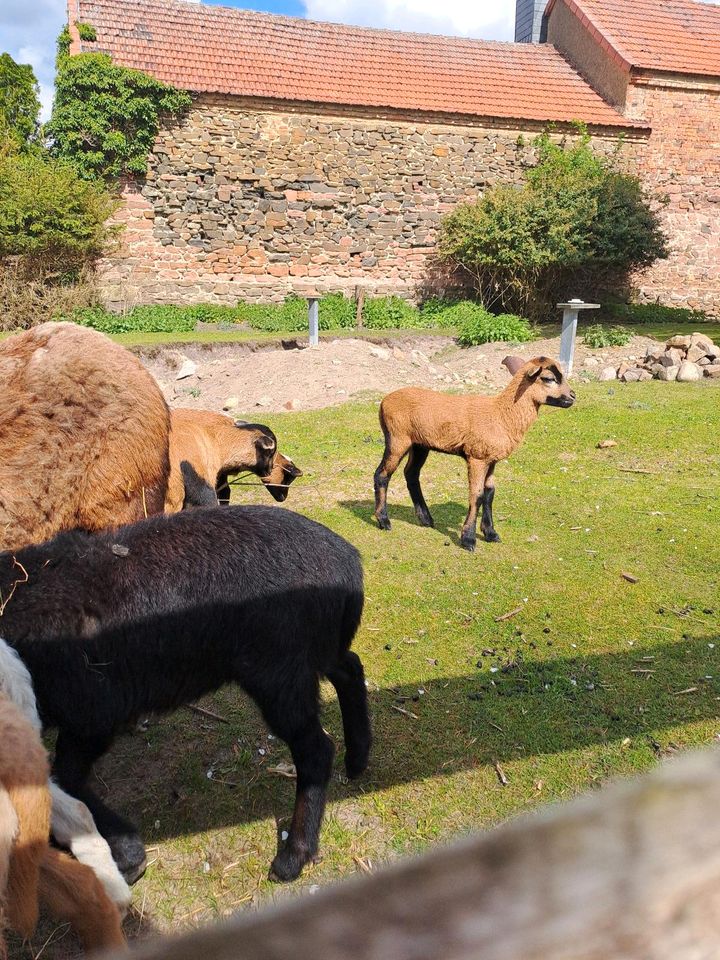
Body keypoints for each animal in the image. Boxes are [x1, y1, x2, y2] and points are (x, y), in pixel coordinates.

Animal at [0, 506, 372, 880]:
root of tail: (349, 564)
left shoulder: (91, 711)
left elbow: (64, 776)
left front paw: (127, 852)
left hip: (279, 672)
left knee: (316, 750)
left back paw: (294, 855)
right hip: (316, 651)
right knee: (350, 669)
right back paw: (357, 760)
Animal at [374, 356, 576, 552]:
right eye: (548, 378)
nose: (573, 396)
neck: (502, 414)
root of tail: (384, 401)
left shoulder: (491, 459)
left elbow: (489, 493)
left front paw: (491, 533)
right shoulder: (477, 457)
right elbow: (476, 495)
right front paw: (468, 539)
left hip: (420, 444)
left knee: (411, 474)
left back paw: (426, 519)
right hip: (397, 438)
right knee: (382, 474)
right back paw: (384, 520)